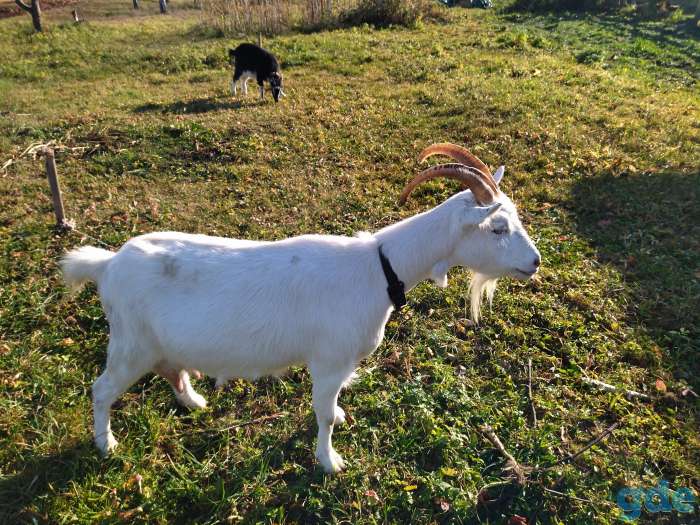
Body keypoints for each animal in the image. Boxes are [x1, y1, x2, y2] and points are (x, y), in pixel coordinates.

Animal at [61, 143, 540, 473]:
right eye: (498, 227)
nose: (535, 262)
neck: (379, 266)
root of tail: (107, 264)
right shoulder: (328, 359)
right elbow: (322, 414)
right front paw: (330, 461)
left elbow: (335, 403)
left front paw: (340, 421)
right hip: (130, 343)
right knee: (101, 389)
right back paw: (107, 445)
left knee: (171, 368)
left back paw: (193, 401)